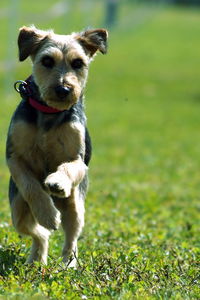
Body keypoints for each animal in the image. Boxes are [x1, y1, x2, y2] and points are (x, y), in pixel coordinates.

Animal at [5, 24, 108, 266]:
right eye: (47, 60)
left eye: (78, 63)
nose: (63, 89)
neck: (49, 112)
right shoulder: (13, 156)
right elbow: (31, 186)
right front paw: (47, 214)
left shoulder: (78, 159)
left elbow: (67, 167)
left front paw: (57, 182)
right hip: (17, 209)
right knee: (39, 233)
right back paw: (37, 256)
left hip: (75, 205)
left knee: (71, 237)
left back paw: (69, 264)